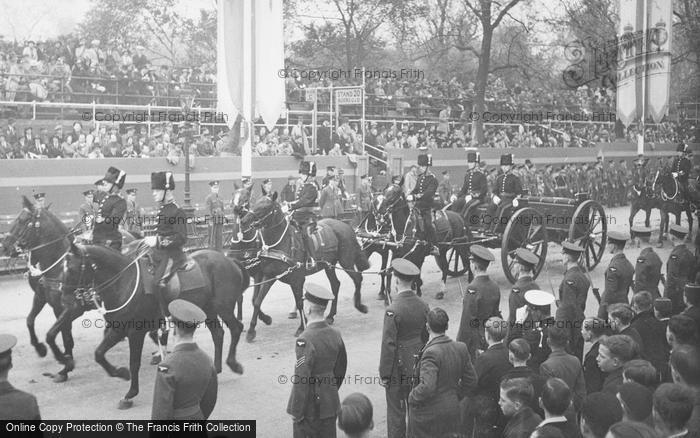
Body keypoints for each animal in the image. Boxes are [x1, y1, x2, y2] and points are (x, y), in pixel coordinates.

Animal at [59, 240, 249, 408]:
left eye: (72, 268)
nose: (64, 298)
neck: (124, 282)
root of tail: (228, 260)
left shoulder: (135, 332)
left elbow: (134, 363)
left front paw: (130, 393)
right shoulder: (118, 330)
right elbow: (99, 354)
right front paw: (120, 373)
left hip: (223, 307)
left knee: (236, 328)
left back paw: (233, 363)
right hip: (208, 310)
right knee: (218, 334)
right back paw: (216, 368)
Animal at [241, 195, 370, 342]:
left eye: (265, 207)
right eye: (255, 203)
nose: (244, 221)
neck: (281, 242)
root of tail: (345, 225)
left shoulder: (297, 279)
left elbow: (299, 303)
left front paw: (301, 327)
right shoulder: (269, 276)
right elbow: (257, 301)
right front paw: (252, 330)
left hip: (346, 262)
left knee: (358, 278)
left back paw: (360, 306)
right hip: (329, 265)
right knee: (335, 284)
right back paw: (331, 316)